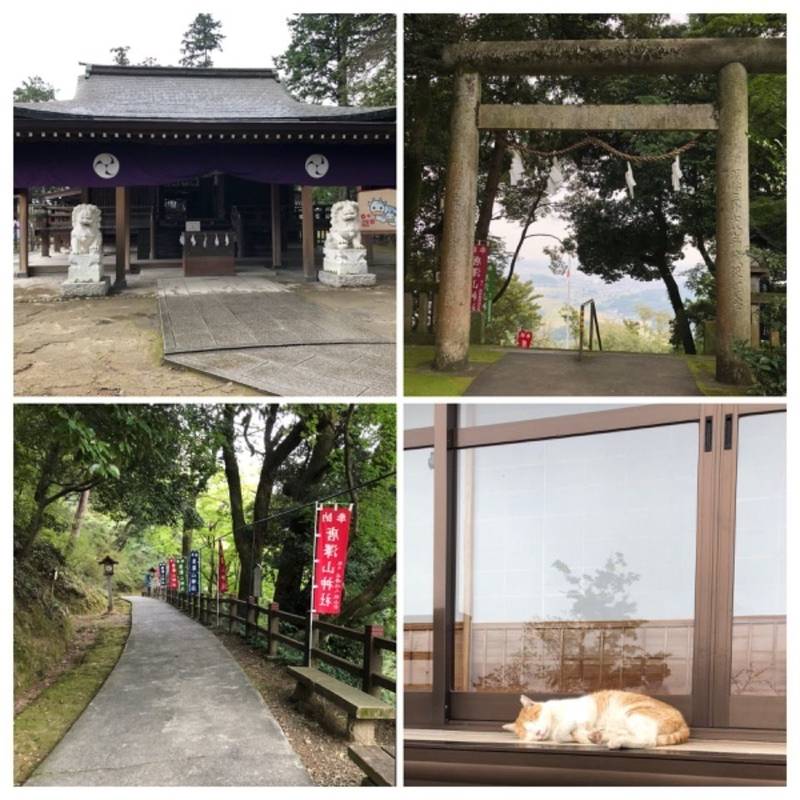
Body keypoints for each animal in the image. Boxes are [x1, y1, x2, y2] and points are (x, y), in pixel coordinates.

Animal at [504, 692, 692, 752]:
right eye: (526, 732)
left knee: (648, 740)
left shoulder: (580, 713)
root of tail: (683, 722)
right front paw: (583, 737)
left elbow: (561, 732)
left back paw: (615, 742)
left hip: (635, 714)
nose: (537, 732)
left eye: (533, 718)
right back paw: (602, 737)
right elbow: (570, 736)